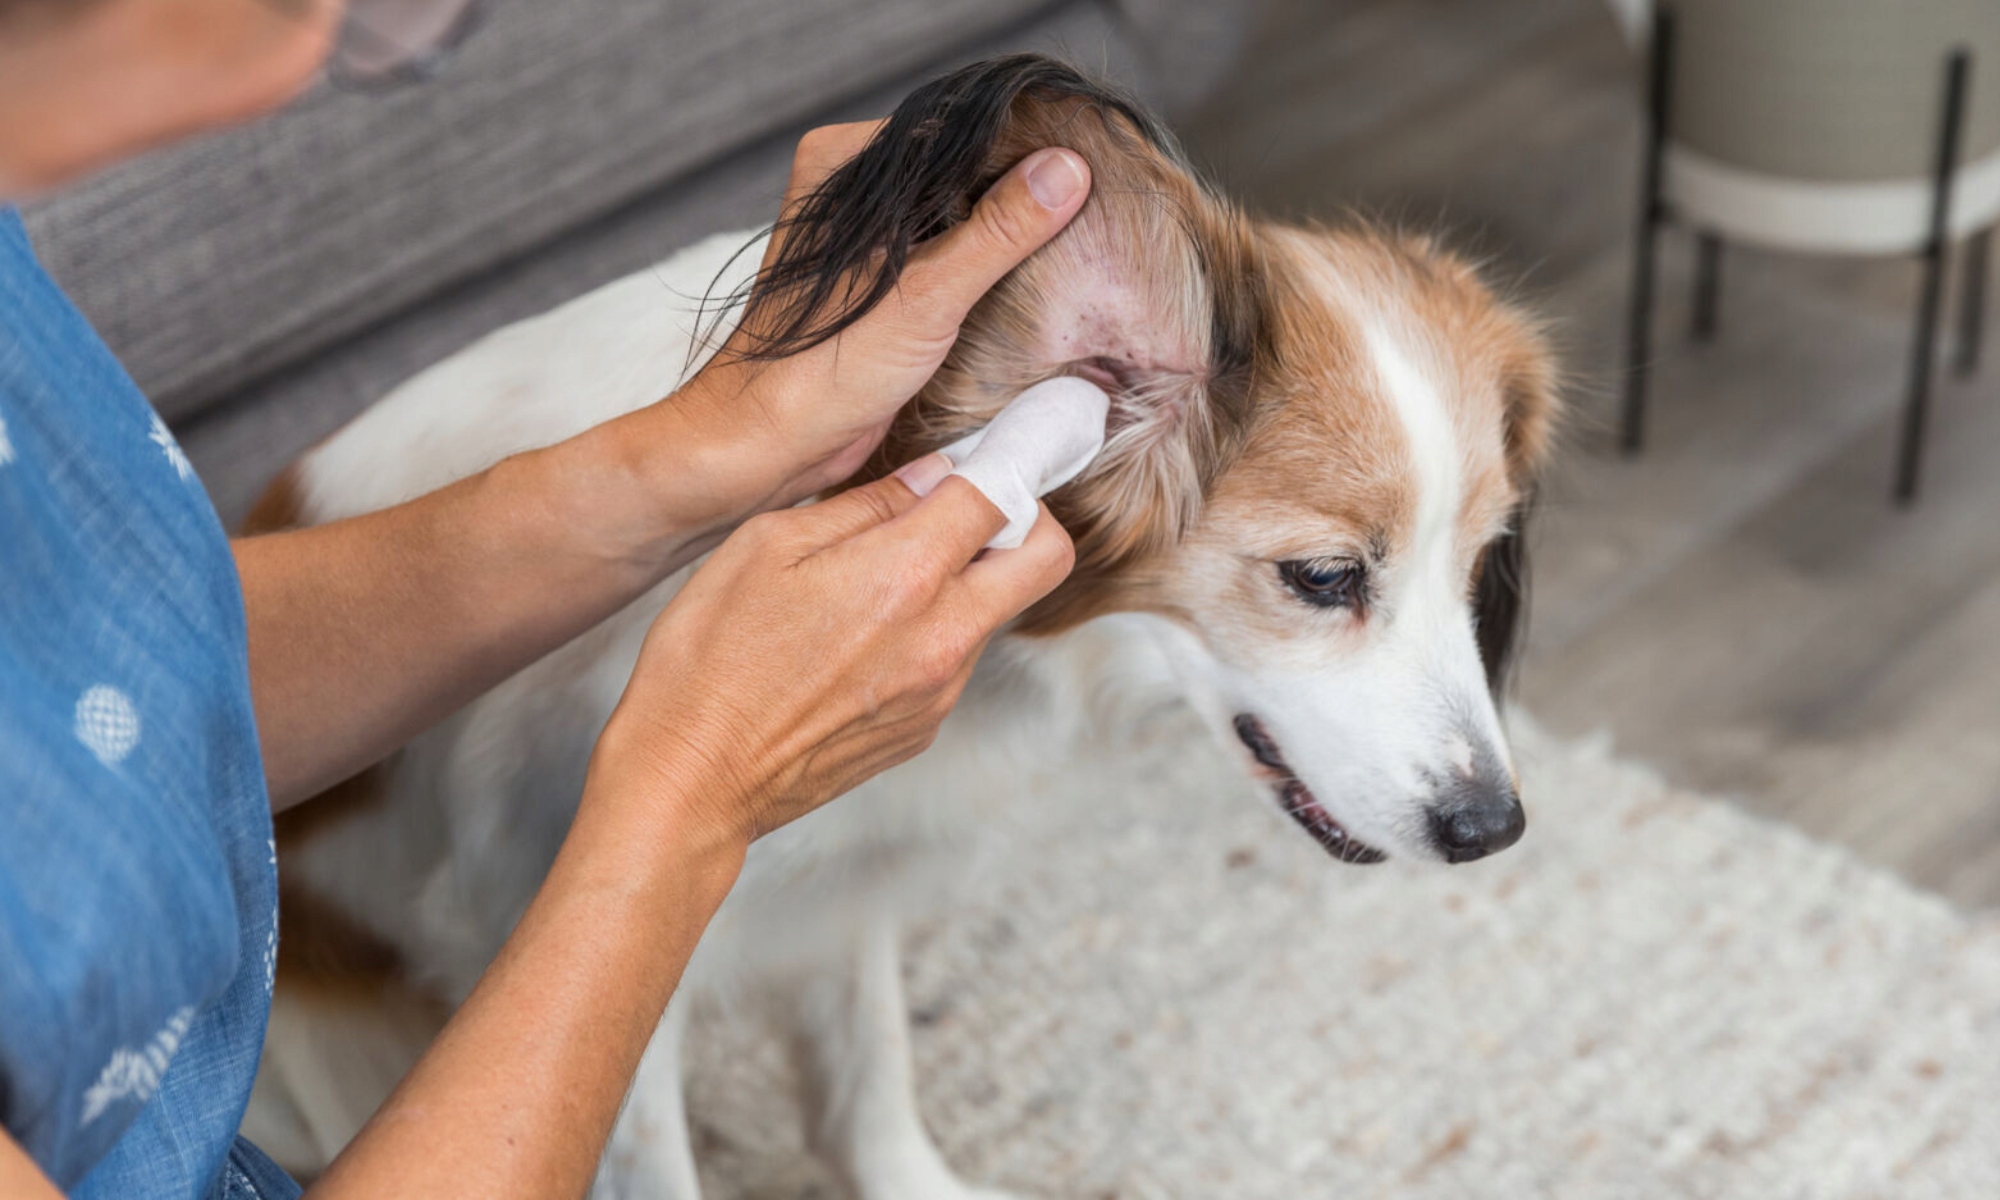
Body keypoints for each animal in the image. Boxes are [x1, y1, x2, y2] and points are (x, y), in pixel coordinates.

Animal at [242, 51, 1560, 1192]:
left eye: (1474, 562)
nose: (1489, 829)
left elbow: (865, 1078)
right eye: (1323, 578)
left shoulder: (846, 880)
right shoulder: (585, 958)